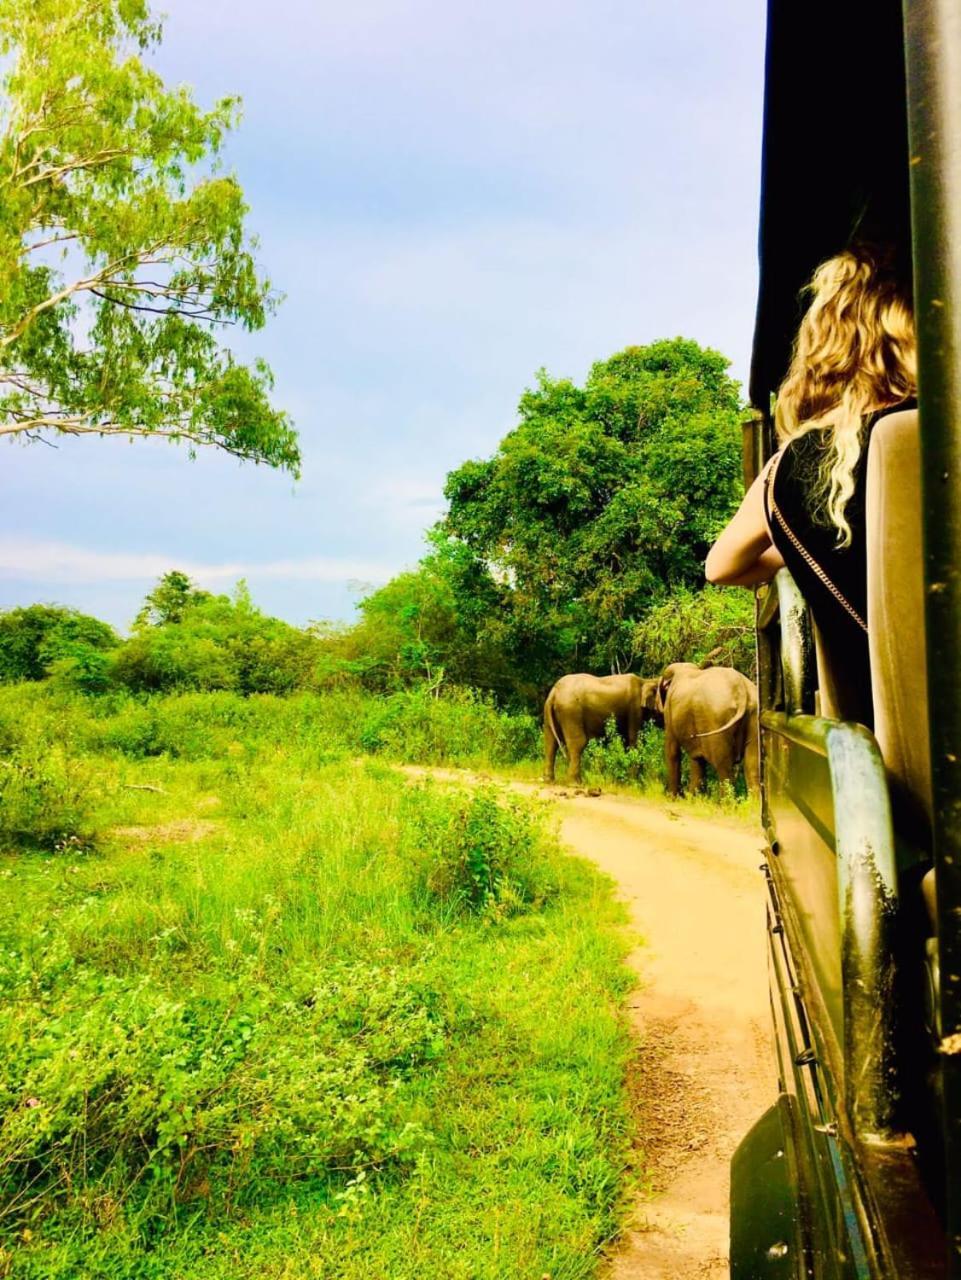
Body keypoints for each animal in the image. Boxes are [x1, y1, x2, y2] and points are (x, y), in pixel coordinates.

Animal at [660, 665, 762, 793]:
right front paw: (693, 796)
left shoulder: (668, 713)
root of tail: (741, 688)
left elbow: (672, 751)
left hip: (717, 720)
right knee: (752, 768)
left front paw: (674, 796)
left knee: (723, 768)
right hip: (754, 715)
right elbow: (697, 758)